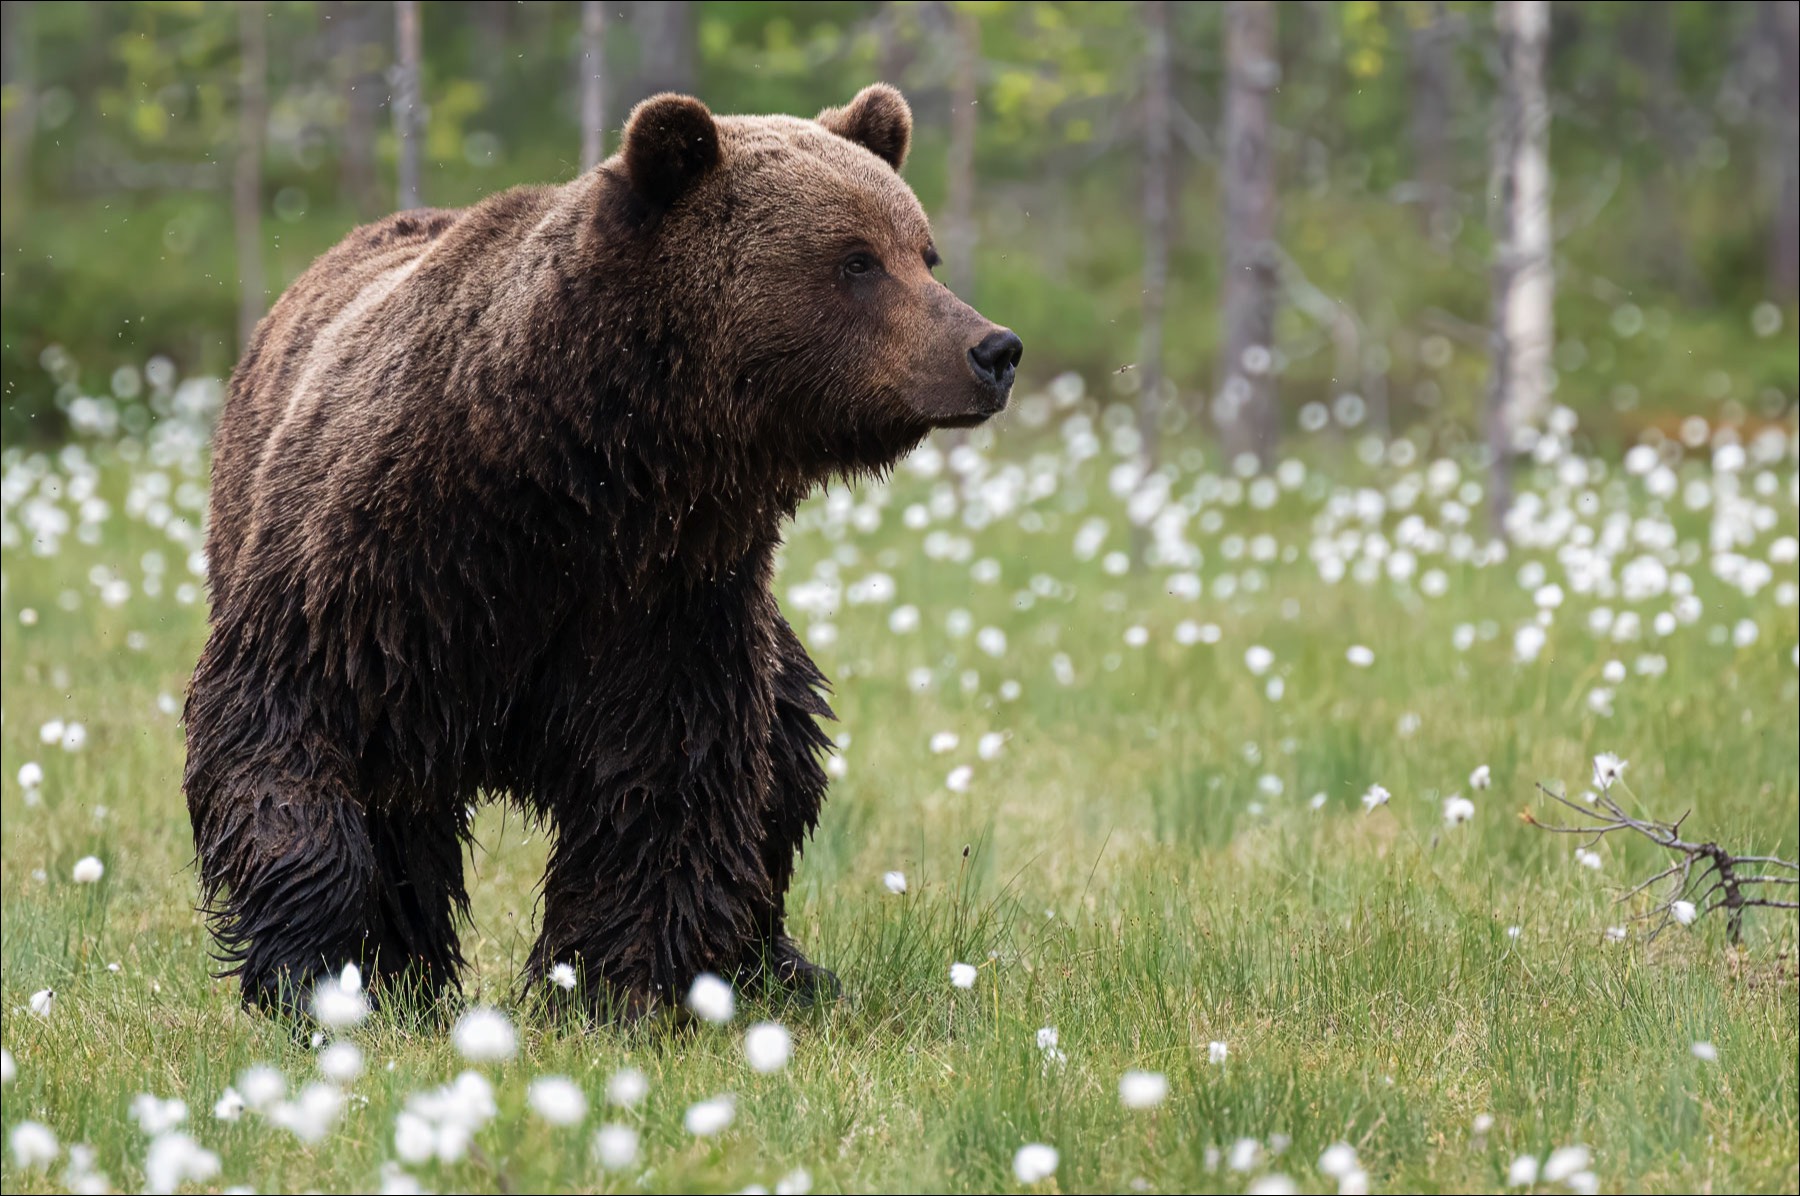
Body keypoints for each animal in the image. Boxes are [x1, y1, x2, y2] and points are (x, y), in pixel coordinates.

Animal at [188, 86, 1022, 1015]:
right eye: (856, 261)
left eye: (923, 252)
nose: (994, 349)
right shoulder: (384, 577)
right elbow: (293, 733)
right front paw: (319, 971)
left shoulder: (664, 597)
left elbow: (665, 779)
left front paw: (609, 986)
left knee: (783, 773)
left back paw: (778, 964)